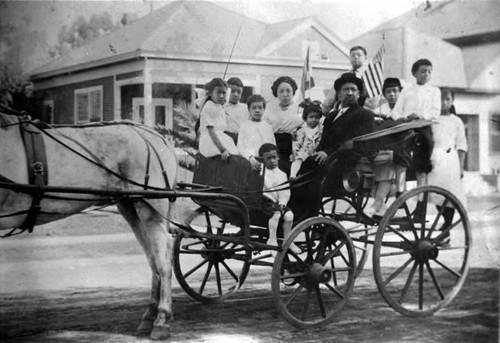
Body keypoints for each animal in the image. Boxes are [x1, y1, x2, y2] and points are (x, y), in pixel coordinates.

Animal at [0, 113, 179, 342]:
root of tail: (154, 134)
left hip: (150, 207)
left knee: (163, 259)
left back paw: (161, 320)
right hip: (129, 206)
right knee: (154, 258)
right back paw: (149, 316)